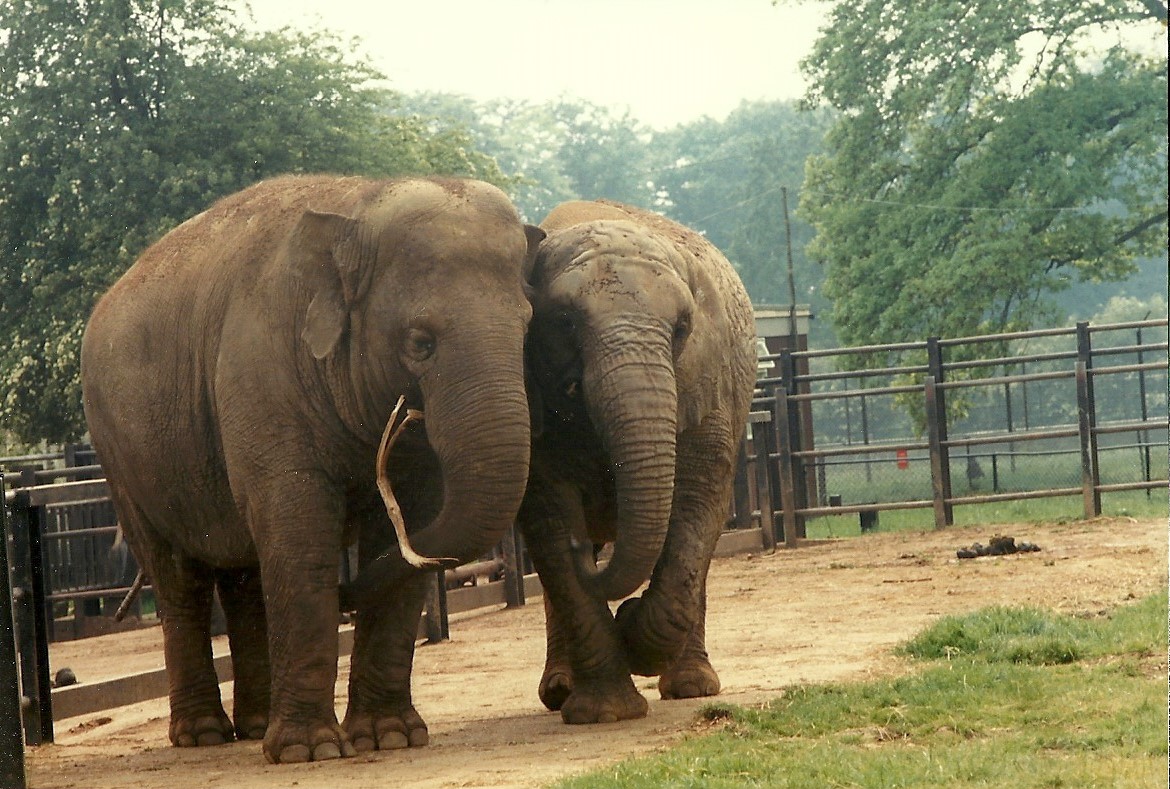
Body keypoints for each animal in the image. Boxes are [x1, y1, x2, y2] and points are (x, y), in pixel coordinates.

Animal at [81, 174, 543, 763]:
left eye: (527, 330)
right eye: (420, 342)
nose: (345, 595)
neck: (357, 205)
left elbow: (410, 522)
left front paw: (390, 737)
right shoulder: (263, 378)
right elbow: (299, 534)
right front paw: (312, 751)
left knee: (244, 573)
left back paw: (255, 725)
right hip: (120, 456)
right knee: (177, 577)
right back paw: (203, 735)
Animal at [518, 199, 756, 724]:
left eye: (682, 329)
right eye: (564, 322)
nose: (583, 548)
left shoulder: (706, 383)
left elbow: (697, 505)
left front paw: (631, 632)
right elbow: (549, 517)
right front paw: (603, 713)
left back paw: (691, 686)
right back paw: (561, 691)